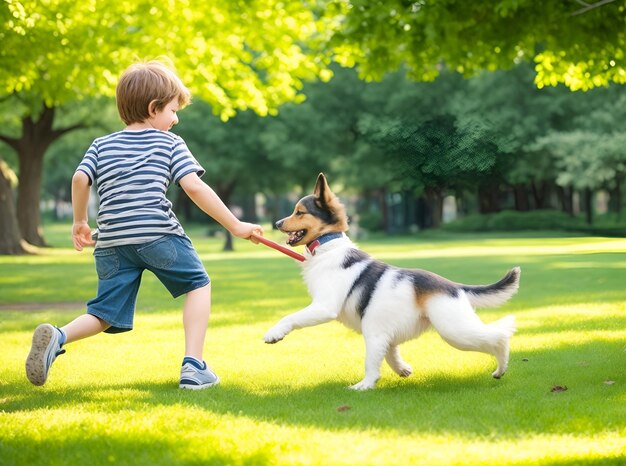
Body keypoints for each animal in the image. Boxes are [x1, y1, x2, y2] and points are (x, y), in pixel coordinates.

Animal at [264, 174, 516, 390]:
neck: (328, 248)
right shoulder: (382, 332)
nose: (276, 223)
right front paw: (402, 369)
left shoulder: (325, 307)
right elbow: (388, 353)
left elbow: (291, 318)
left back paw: (501, 368)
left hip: (455, 330)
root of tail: (454, 286)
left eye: (299, 212)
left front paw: (274, 334)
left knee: (499, 337)